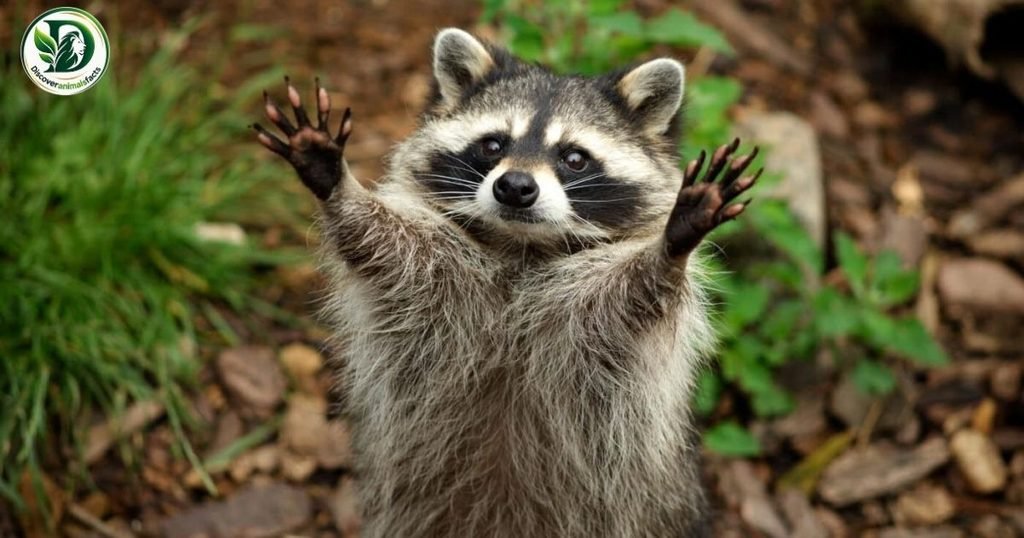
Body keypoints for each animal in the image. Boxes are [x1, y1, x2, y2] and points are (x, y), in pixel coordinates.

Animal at [254, 28, 759, 538]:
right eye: (493, 145)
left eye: (574, 158)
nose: (515, 186)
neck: (521, 247)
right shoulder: (434, 273)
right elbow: (382, 246)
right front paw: (338, 187)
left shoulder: (594, 314)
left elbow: (634, 296)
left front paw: (671, 248)